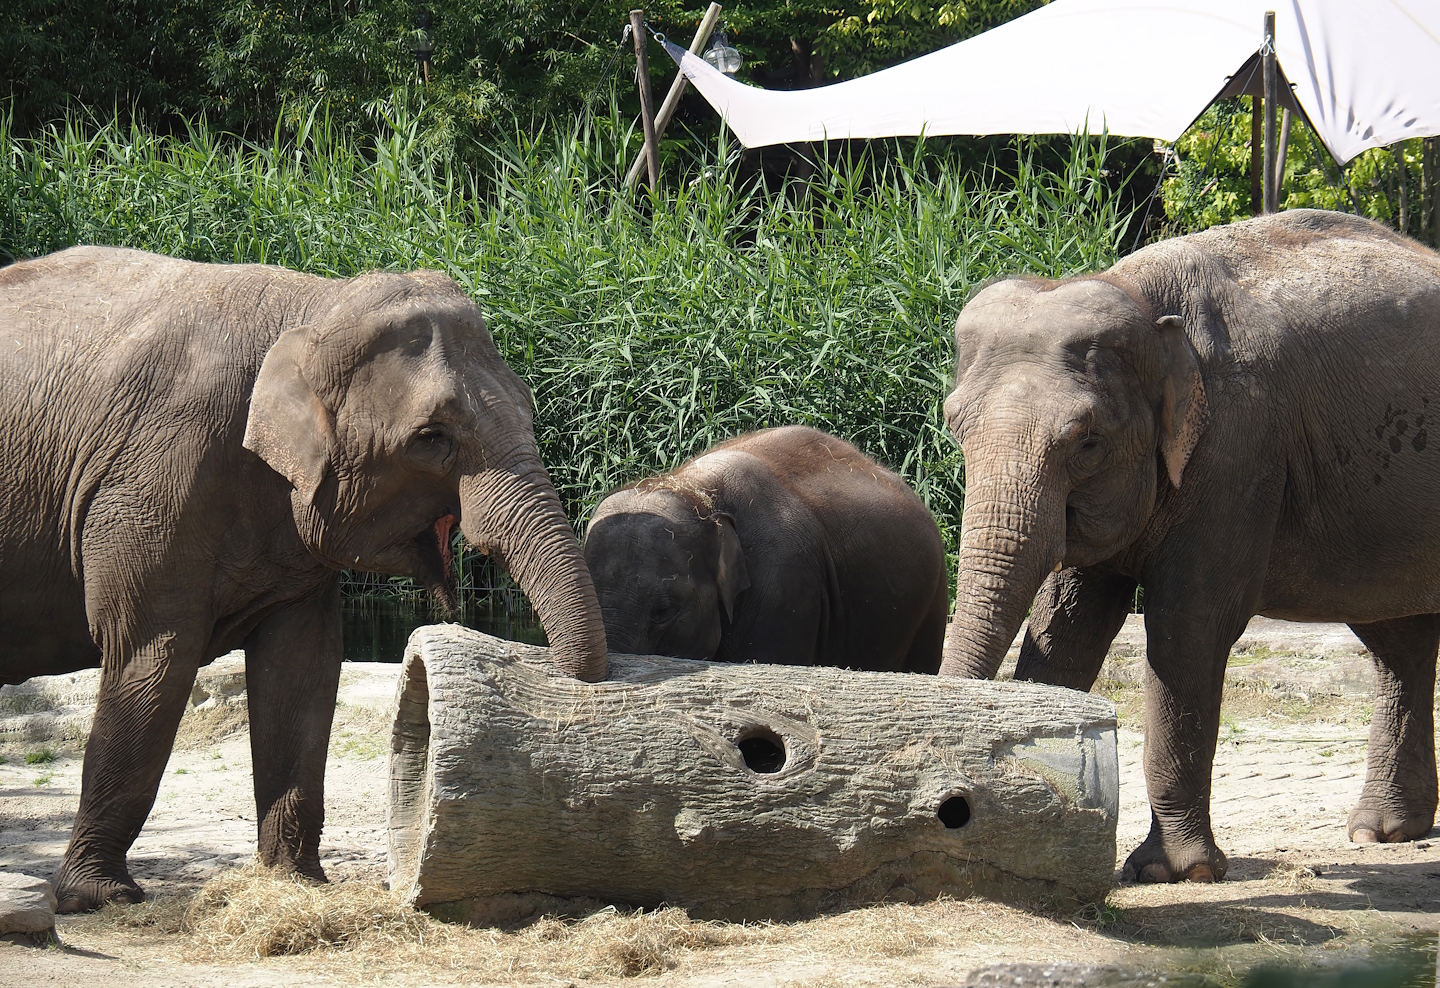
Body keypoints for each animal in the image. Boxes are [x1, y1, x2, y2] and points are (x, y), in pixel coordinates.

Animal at [0, 246, 608, 912]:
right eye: (430, 438)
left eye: (528, 408)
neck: (314, 305)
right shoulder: (153, 479)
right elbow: (152, 656)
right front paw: (102, 897)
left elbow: (302, 668)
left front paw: (296, 882)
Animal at [938, 209, 1440, 883]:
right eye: (955, 426)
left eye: (1087, 442)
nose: (956, 812)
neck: (1139, 298)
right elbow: (1067, 625)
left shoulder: (1236, 452)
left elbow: (1187, 630)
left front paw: (1172, 873)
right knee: (1397, 639)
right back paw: (1381, 832)